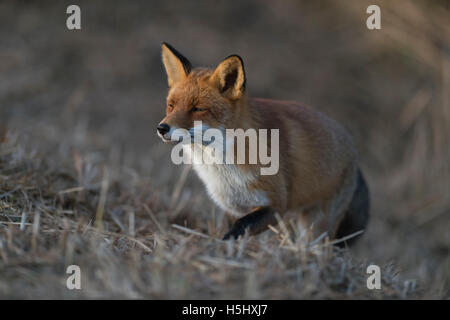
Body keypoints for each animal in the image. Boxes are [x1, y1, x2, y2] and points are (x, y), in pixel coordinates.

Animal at [156, 40, 370, 245]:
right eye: (171, 105)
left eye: (198, 108)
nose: (162, 128)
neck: (225, 171)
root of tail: (351, 144)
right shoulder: (232, 206)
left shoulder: (276, 205)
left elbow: (240, 227)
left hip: (317, 224)